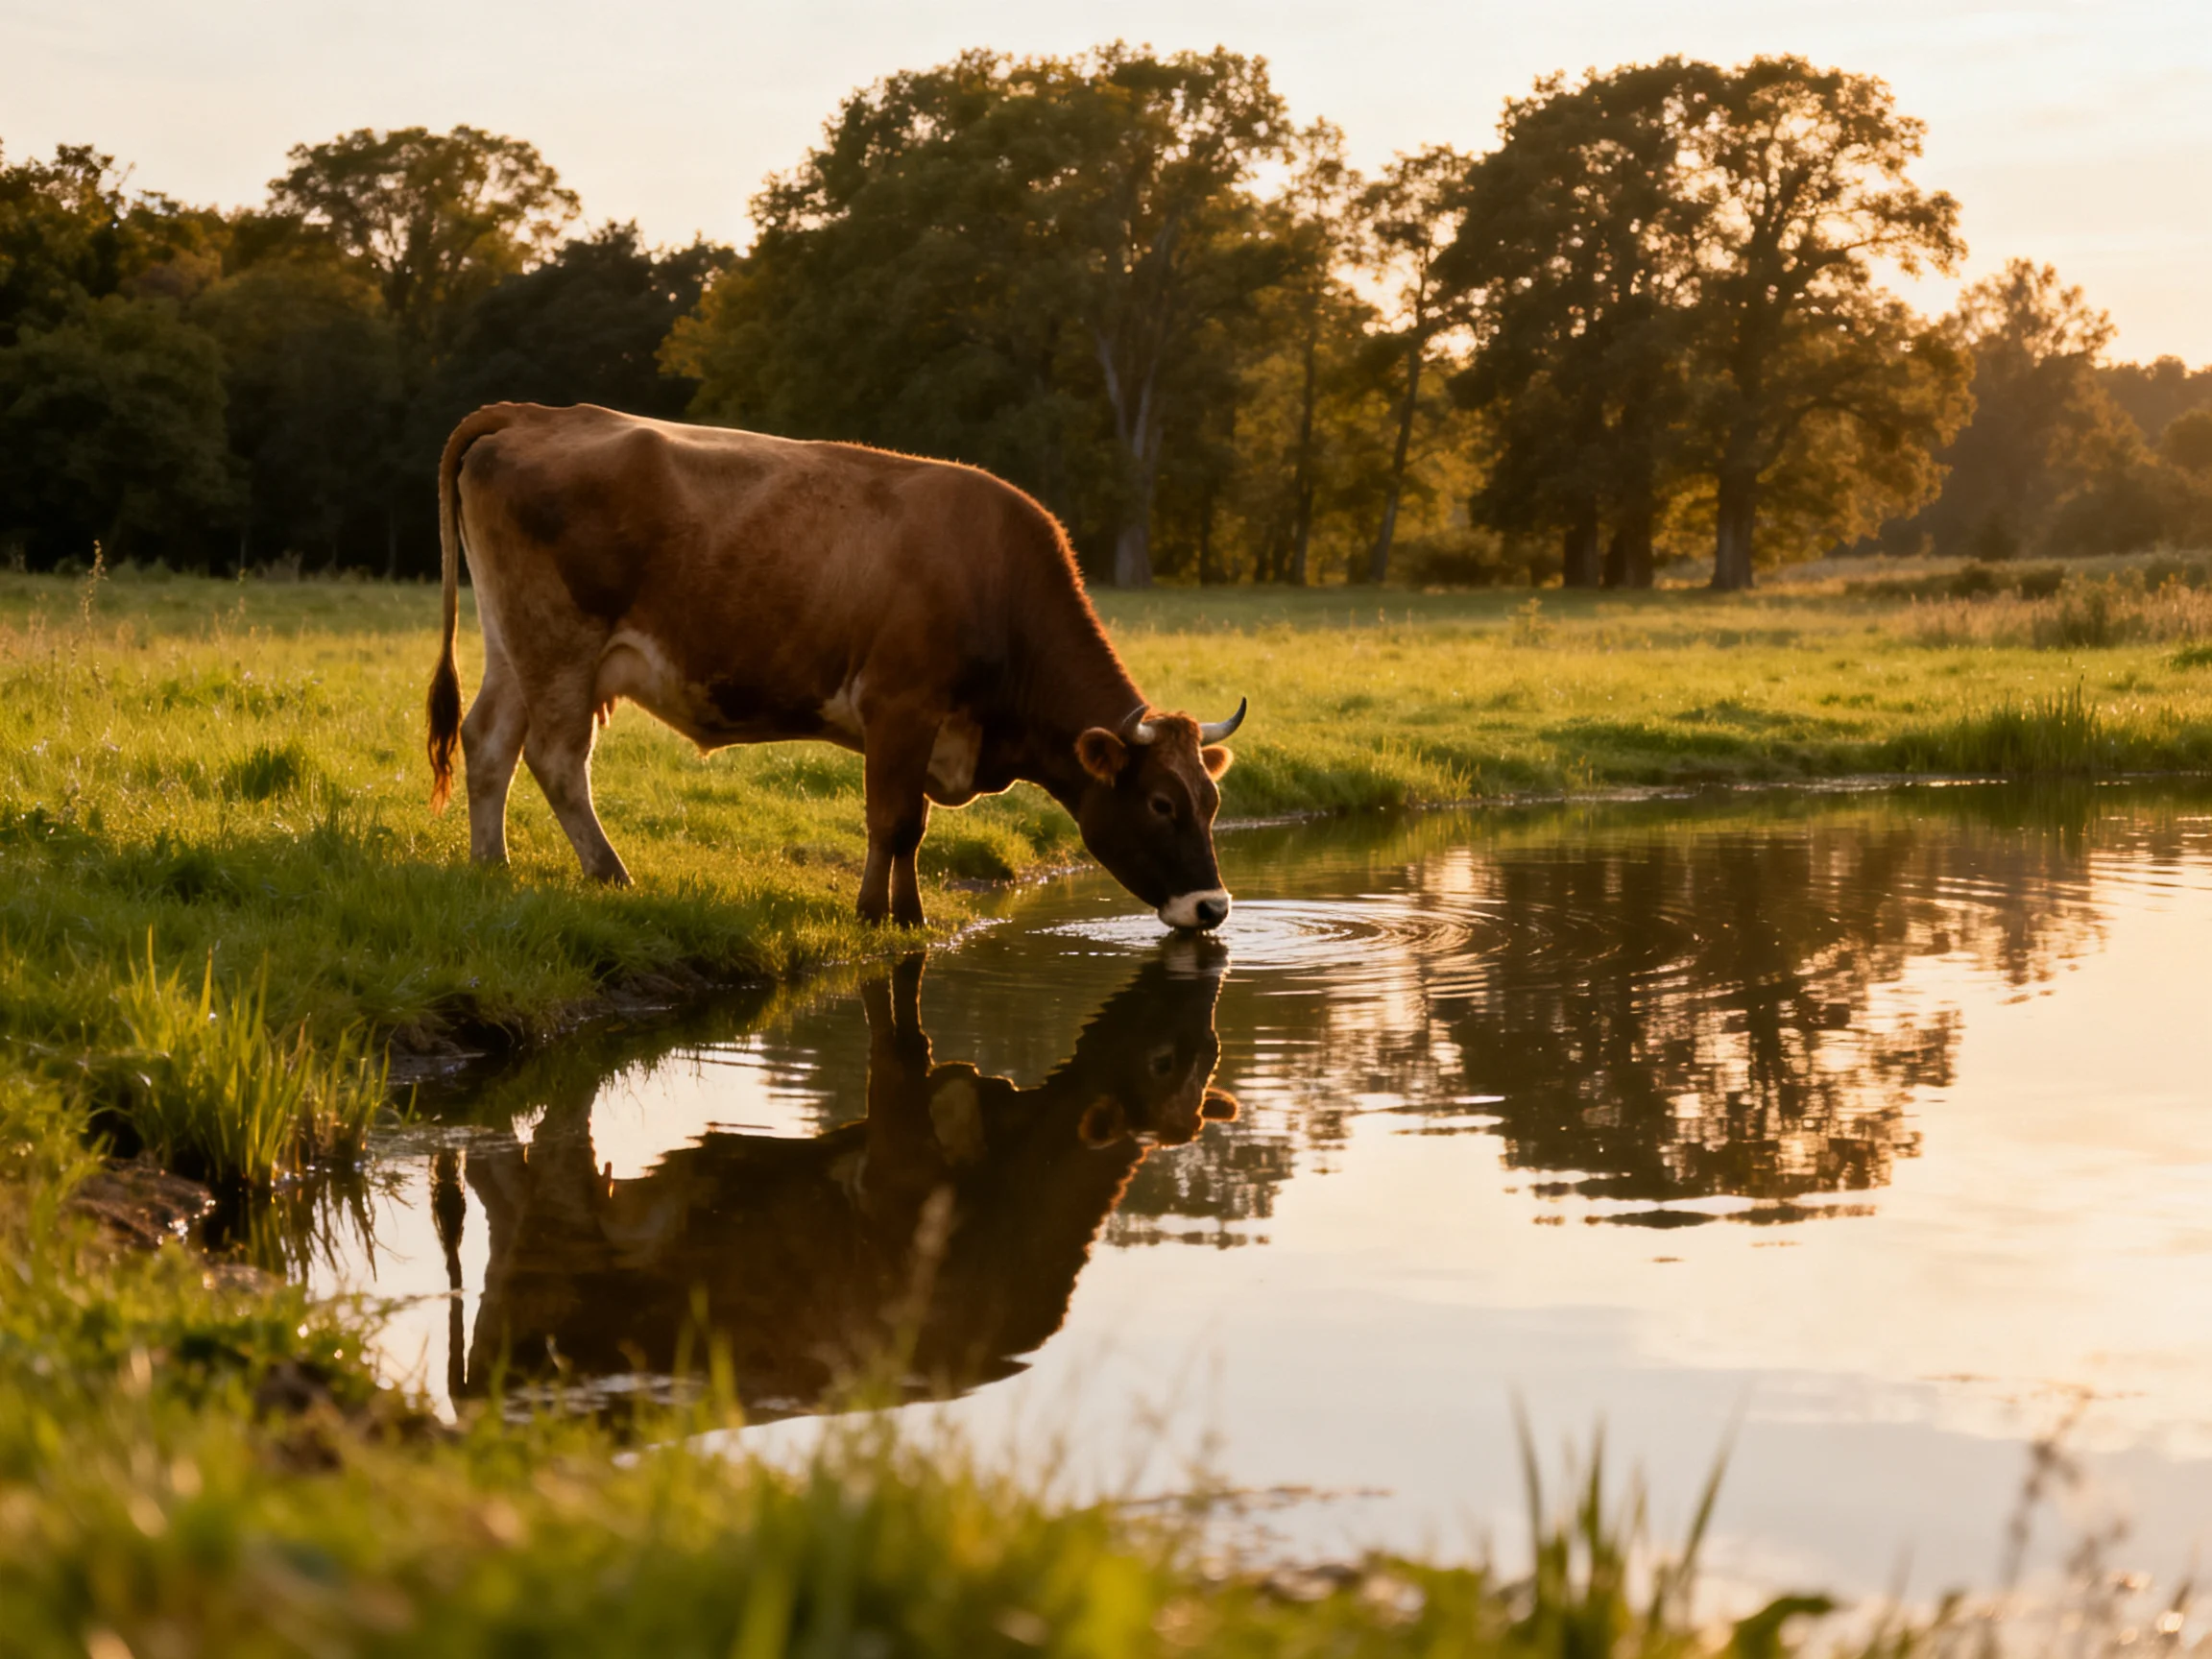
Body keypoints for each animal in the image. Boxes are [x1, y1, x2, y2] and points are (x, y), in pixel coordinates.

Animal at [424, 403, 1247, 929]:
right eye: (1162, 804)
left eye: (1213, 802)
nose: (1213, 908)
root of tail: (537, 412)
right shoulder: (900, 707)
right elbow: (894, 821)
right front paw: (876, 915)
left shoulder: (926, 728)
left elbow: (911, 827)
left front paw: (905, 914)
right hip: (561, 641)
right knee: (556, 758)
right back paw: (609, 873)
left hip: (514, 643)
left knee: (489, 741)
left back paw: (491, 868)